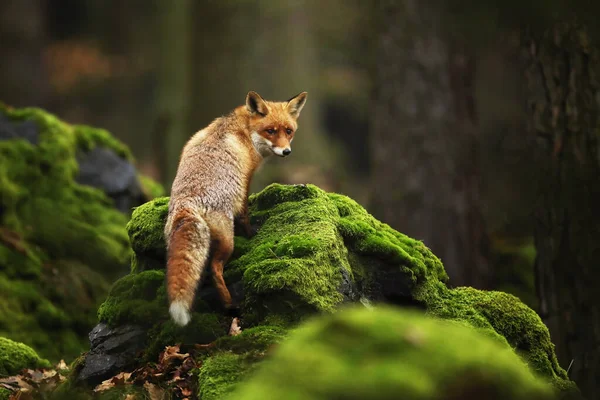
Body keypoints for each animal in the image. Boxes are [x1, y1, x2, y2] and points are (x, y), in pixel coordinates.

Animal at [164, 90, 308, 324]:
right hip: (227, 242)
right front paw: (251, 233)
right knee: (215, 269)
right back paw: (230, 305)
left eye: (288, 131)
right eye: (270, 131)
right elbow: (245, 213)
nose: (286, 151)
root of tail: (187, 202)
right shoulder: (245, 180)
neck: (243, 129)